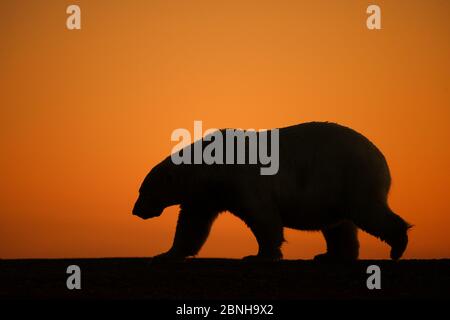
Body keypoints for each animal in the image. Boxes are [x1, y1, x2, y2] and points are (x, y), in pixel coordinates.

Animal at [132, 122, 410, 260]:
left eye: (142, 191)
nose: (135, 210)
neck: (211, 166)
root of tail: (381, 158)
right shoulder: (206, 195)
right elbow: (192, 224)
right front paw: (166, 254)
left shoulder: (243, 181)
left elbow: (263, 216)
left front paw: (259, 256)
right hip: (334, 192)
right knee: (339, 226)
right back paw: (331, 256)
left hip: (350, 177)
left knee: (368, 212)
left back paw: (398, 245)